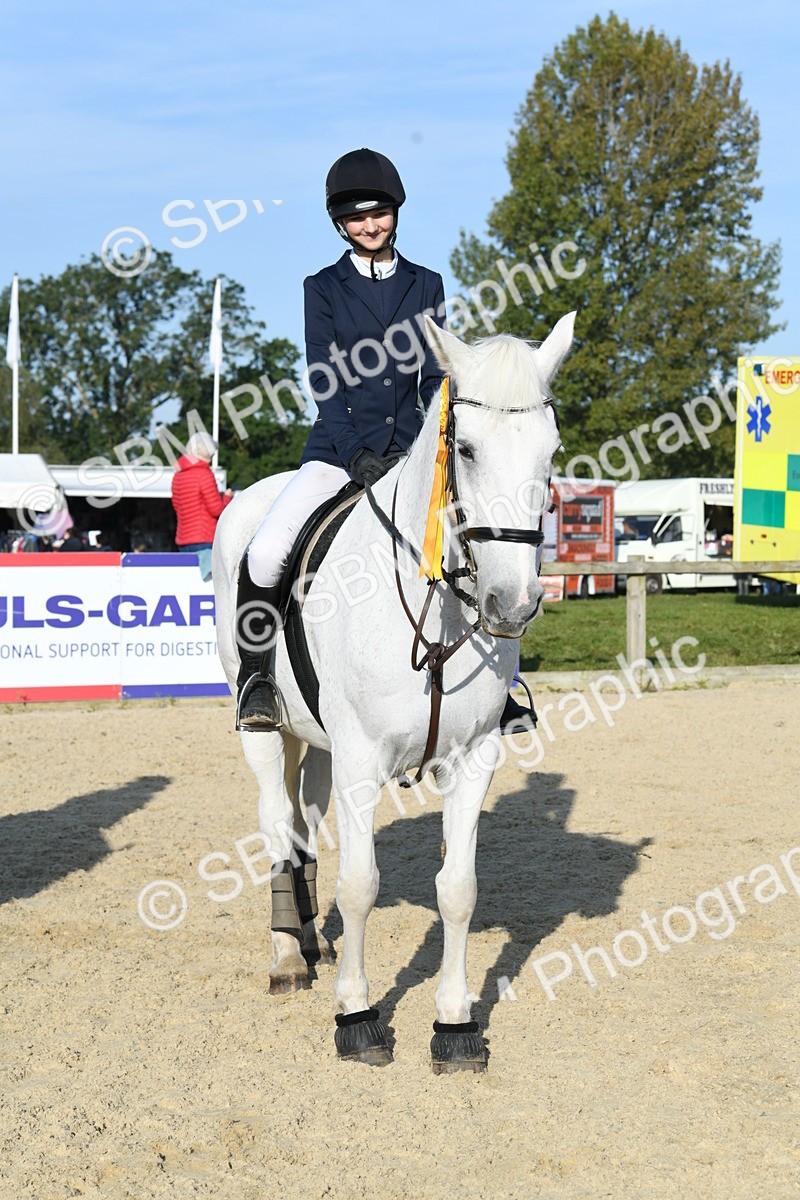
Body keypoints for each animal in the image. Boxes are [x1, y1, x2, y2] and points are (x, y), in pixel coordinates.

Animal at [212, 312, 574, 1071]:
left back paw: (312, 942)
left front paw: (456, 1023)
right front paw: (356, 1015)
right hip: (266, 727)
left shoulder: (473, 759)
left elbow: (458, 889)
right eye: (465, 449)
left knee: (304, 823)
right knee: (275, 820)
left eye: (551, 452)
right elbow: (361, 885)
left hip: (318, 744)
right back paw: (287, 958)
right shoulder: (361, 760)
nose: (513, 604)